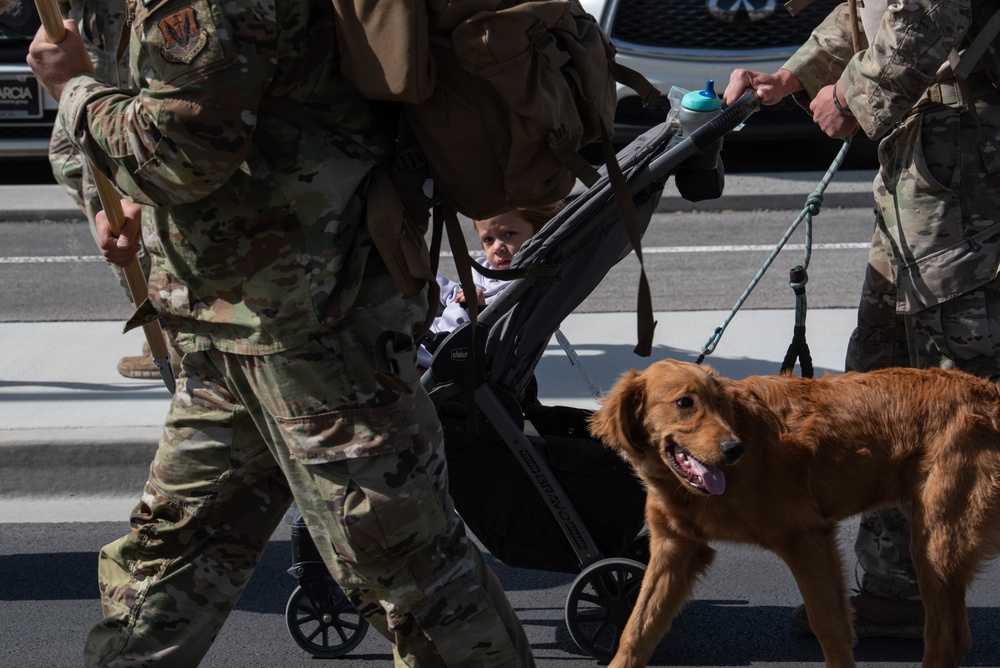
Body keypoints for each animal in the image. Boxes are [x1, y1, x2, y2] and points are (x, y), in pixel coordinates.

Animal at [588, 360, 1000, 668]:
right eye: (684, 402)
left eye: (720, 403)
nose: (734, 449)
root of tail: (990, 396)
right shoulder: (676, 547)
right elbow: (637, 630)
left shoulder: (806, 538)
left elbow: (829, 627)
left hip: (936, 542)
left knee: (948, 639)